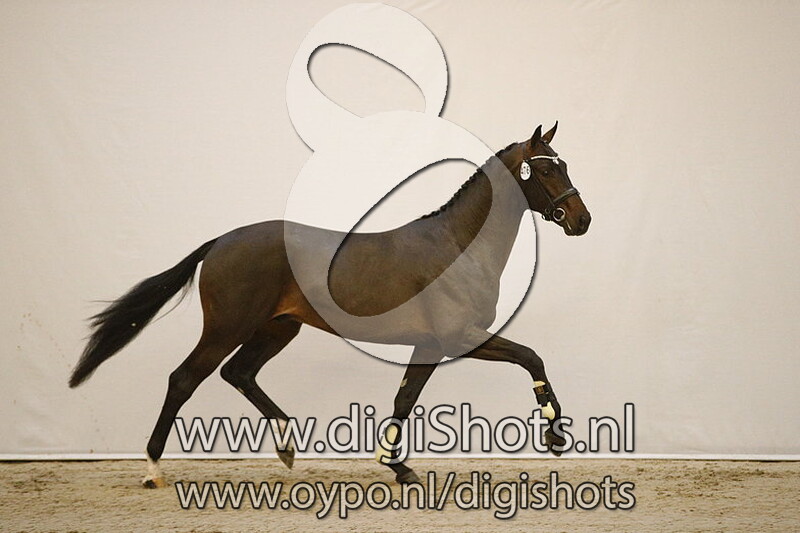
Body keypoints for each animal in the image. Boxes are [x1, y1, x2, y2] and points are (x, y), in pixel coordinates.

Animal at [69, 123, 591, 487]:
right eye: (546, 169)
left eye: (565, 164)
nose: (581, 219)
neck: (457, 246)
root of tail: (220, 242)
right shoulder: (459, 337)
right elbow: (531, 357)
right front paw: (554, 435)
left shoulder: (429, 345)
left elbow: (404, 399)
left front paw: (399, 468)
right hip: (227, 328)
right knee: (184, 379)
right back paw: (153, 470)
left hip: (278, 328)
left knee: (239, 373)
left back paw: (286, 447)